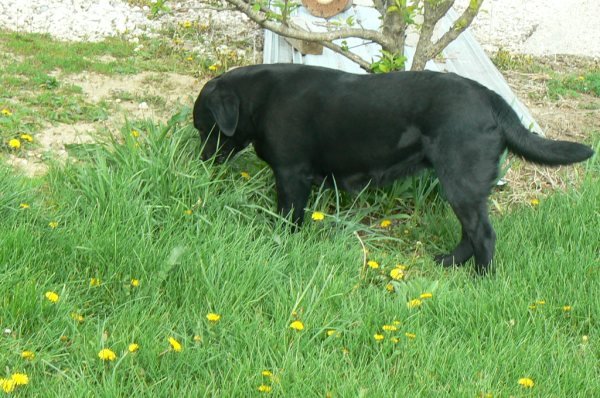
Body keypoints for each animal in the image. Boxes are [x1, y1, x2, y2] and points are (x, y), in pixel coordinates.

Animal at [193, 63, 596, 274]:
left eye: (202, 125)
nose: (201, 163)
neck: (260, 98)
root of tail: (489, 97)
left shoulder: (291, 175)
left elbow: (288, 218)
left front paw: (279, 244)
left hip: (459, 179)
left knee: (483, 234)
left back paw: (481, 278)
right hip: (463, 185)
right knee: (470, 232)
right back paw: (449, 263)